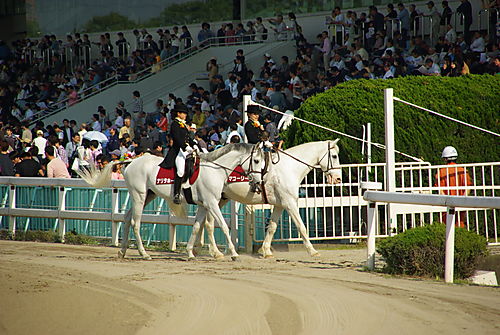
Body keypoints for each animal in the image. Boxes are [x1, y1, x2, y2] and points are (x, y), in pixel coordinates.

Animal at [78, 143, 266, 262]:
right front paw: (233, 254)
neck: (216, 170)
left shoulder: (204, 205)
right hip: (139, 196)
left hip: (148, 196)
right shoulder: (212, 203)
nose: (258, 183)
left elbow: (196, 227)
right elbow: (224, 227)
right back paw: (144, 253)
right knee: (135, 222)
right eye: (256, 161)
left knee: (126, 218)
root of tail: (132, 161)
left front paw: (190, 253)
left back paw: (122, 251)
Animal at [188, 140, 344, 258]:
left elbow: (272, 227)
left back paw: (200, 249)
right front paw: (312, 251)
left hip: (219, 200)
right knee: (209, 224)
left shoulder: (280, 205)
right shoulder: (290, 204)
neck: (288, 168)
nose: (338, 179)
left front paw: (266, 251)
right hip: (213, 200)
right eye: (334, 156)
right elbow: (301, 226)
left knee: (204, 223)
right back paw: (213, 252)